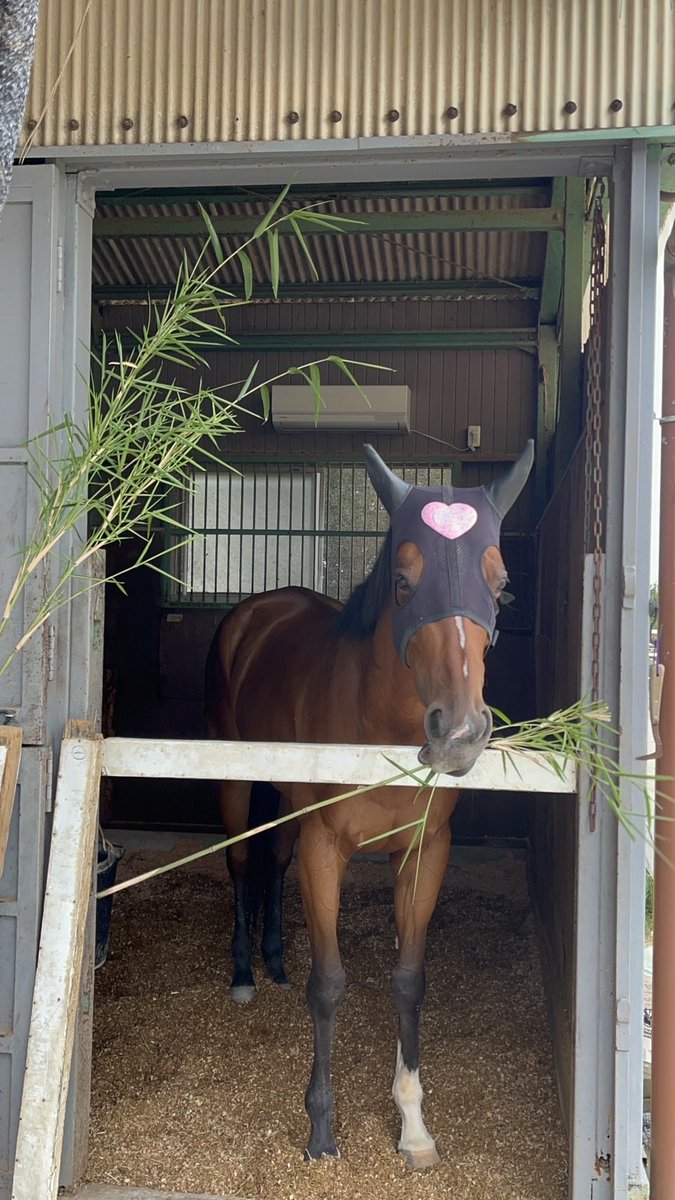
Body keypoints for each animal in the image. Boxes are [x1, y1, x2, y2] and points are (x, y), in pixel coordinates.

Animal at [205, 440, 533, 1168]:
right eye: (404, 583)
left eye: (499, 587)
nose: (459, 733)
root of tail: (256, 611)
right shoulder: (326, 852)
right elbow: (328, 986)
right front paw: (321, 1131)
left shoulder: (423, 853)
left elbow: (408, 978)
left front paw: (413, 1125)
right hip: (236, 782)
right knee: (242, 864)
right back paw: (244, 971)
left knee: (273, 859)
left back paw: (273, 959)